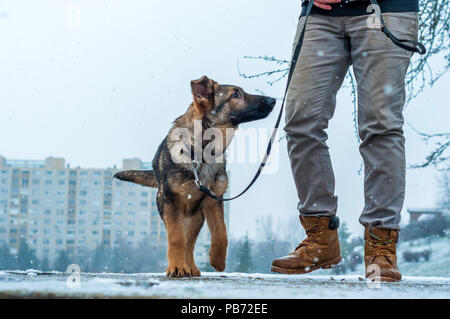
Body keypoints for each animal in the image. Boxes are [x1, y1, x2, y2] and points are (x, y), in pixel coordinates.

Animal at [113, 77, 274, 278]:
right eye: (235, 94)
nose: (273, 100)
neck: (203, 152)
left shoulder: (214, 200)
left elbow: (221, 233)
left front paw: (217, 260)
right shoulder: (171, 203)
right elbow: (176, 238)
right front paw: (176, 267)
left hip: (196, 216)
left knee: (190, 243)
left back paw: (190, 266)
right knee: (181, 239)